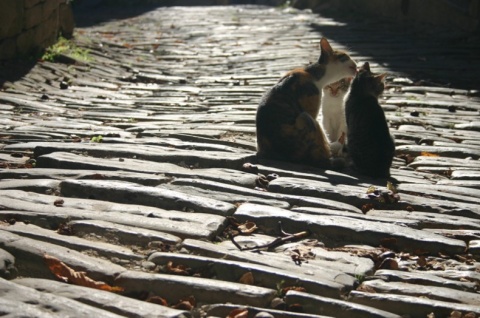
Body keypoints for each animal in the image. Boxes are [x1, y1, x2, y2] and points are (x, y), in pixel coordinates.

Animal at [255, 37, 356, 168]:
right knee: (321, 156)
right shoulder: (312, 105)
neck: (313, 74)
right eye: (343, 57)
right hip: (305, 118)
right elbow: (324, 136)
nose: (356, 64)